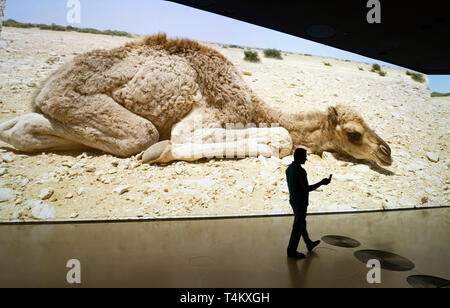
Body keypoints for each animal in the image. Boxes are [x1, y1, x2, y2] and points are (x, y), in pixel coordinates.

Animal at [0, 34, 392, 167]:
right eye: (354, 133)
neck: (252, 105)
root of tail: (45, 84)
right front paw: (160, 151)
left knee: (26, 126)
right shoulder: (210, 115)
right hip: (70, 95)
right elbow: (281, 138)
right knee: (138, 134)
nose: (386, 152)